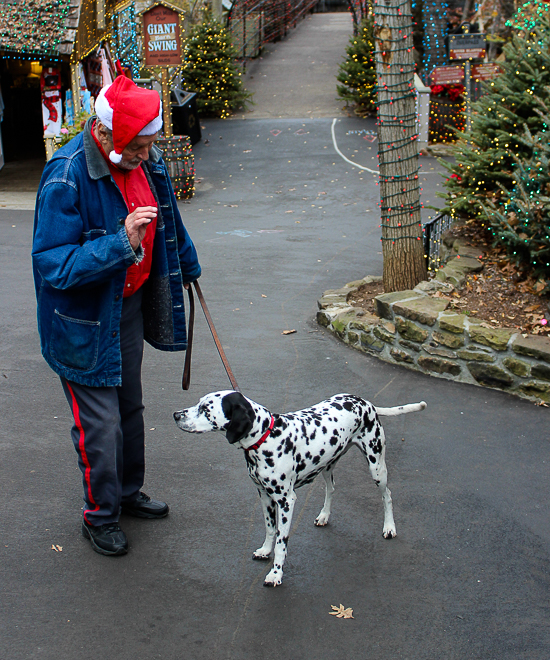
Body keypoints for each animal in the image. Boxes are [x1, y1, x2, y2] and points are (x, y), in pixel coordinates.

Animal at [175, 390, 430, 584]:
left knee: (387, 496)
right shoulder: (264, 496)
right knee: (331, 489)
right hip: (327, 466)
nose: (176, 414)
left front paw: (276, 573)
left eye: (206, 409)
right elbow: (270, 529)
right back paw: (324, 515)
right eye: (198, 403)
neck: (267, 437)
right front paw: (265, 550)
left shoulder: (286, 501)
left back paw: (389, 527)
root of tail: (366, 402)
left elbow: (281, 541)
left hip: (377, 467)